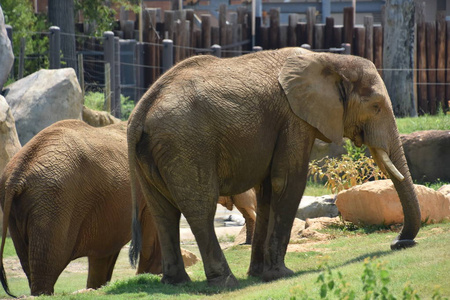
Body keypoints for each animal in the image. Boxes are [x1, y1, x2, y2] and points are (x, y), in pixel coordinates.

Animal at [127, 47, 422, 288]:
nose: (399, 243)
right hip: (187, 145)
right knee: (200, 209)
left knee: (162, 211)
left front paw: (259, 274)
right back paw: (225, 282)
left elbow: (268, 190)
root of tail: (139, 113)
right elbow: (289, 182)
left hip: (153, 156)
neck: (327, 59)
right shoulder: (294, 119)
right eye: (376, 106)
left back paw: (176, 282)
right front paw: (281, 274)